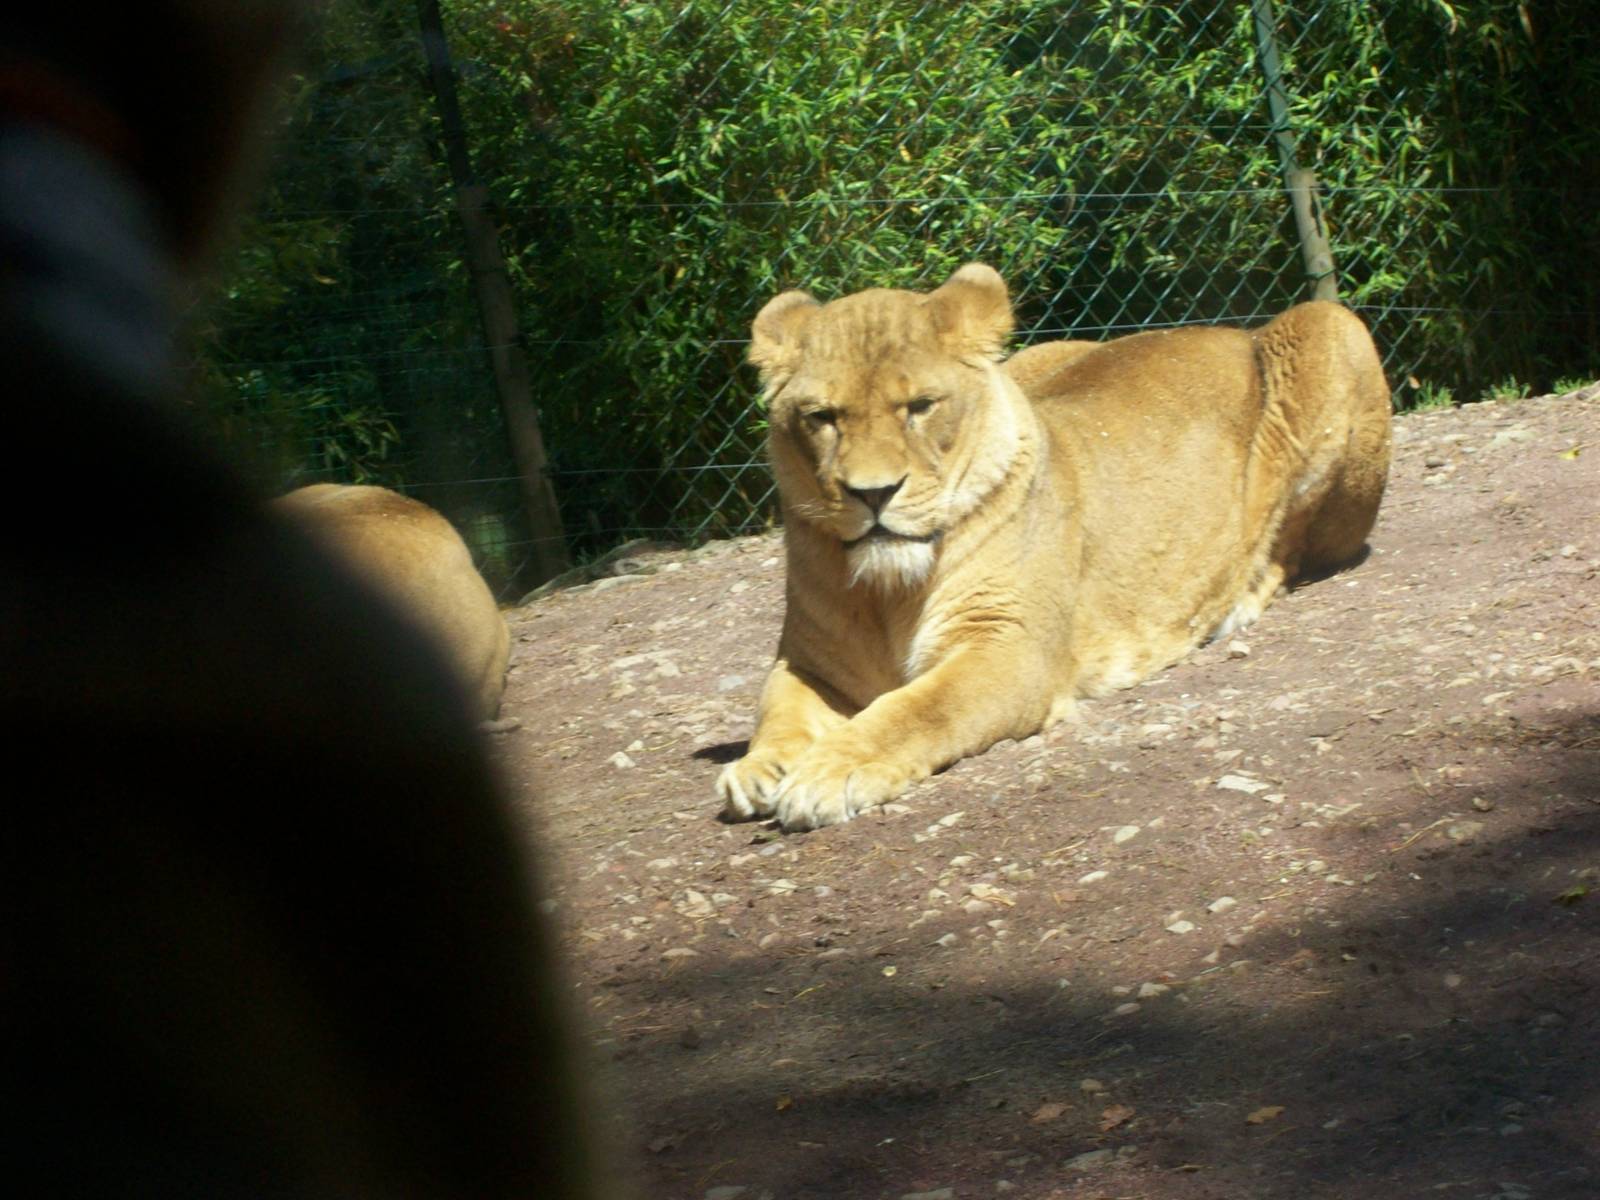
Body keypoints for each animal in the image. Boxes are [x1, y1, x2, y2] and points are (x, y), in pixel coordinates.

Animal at [717, 263, 1391, 831]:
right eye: (822, 417)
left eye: (920, 407)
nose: (873, 493)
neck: (888, 593)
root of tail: (1230, 329)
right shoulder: (808, 661)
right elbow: (776, 709)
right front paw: (759, 768)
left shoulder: (1011, 650)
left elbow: (917, 708)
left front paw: (832, 770)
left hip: (1333, 329)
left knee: (1295, 550)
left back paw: (1239, 601)